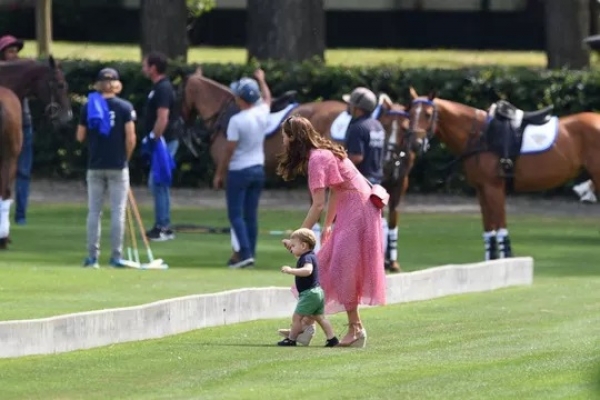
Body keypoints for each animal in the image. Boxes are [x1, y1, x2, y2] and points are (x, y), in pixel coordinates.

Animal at [406, 86, 600, 260]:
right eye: (410, 113)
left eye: (428, 114)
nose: (415, 144)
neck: (480, 136)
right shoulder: (481, 189)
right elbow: (489, 230)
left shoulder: (494, 188)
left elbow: (500, 227)